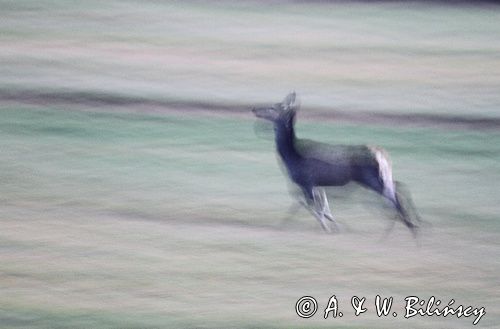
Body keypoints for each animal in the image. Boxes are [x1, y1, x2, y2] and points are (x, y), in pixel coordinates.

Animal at [252, 91, 420, 236]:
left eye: (272, 107)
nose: (254, 109)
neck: (291, 156)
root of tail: (381, 154)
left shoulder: (306, 181)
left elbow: (311, 206)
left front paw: (328, 228)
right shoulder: (317, 185)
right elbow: (322, 206)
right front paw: (335, 225)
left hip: (371, 178)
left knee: (394, 197)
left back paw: (405, 227)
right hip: (382, 176)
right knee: (398, 188)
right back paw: (412, 224)